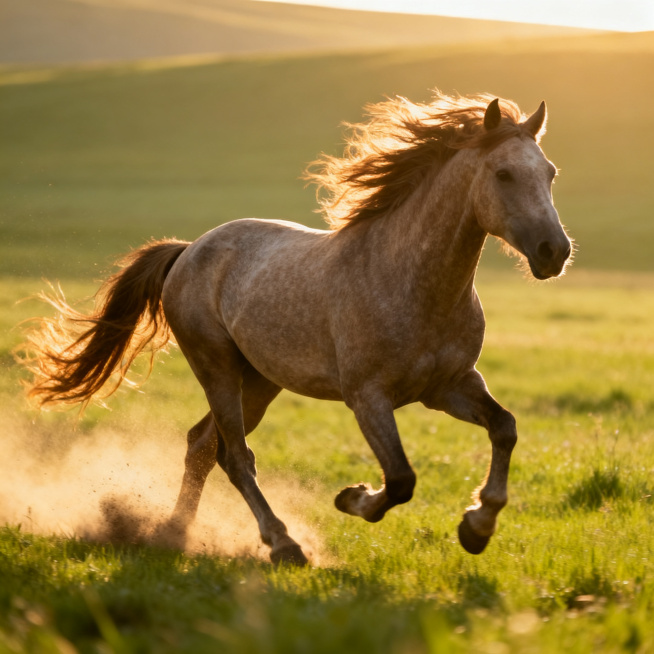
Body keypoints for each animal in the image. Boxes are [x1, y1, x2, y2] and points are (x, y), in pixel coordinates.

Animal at [23, 92, 572, 565]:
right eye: (503, 173)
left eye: (550, 173)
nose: (555, 251)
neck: (414, 282)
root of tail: (188, 250)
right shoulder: (367, 397)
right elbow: (400, 479)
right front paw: (353, 499)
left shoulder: (449, 387)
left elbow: (505, 427)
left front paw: (476, 528)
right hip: (217, 368)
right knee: (235, 457)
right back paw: (283, 545)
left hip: (260, 381)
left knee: (202, 447)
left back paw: (175, 534)